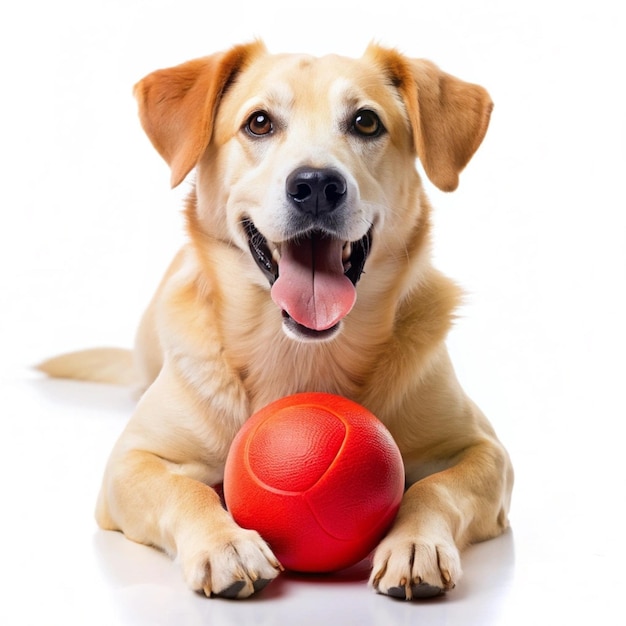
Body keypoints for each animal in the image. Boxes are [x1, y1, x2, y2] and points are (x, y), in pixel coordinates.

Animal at [42, 41, 512, 596]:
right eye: (259, 122)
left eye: (366, 122)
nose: (317, 184)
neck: (301, 355)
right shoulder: (129, 463)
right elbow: (185, 490)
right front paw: (226, 544)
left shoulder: (485, 450)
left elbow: (436, 487)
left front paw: (416, 542)